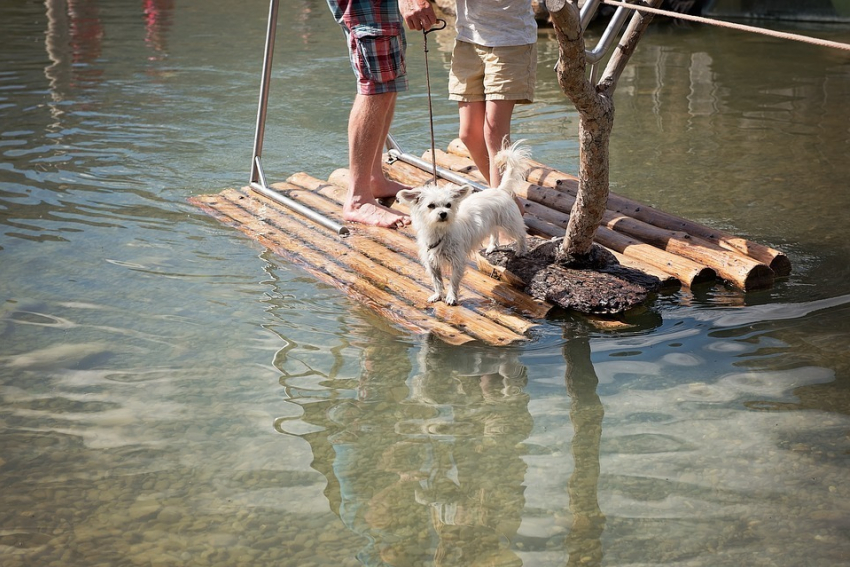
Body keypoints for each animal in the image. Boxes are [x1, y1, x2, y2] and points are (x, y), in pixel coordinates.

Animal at [398, 140, 528, 306]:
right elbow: (437, 281)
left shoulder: (457, 261)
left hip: (509, 223)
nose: (443, 213)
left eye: (448, 205)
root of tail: (500, 190)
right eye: (431, 206)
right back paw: (492, 247)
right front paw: (438, 295)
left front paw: (451, 298)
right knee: (494, 232)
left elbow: (453, 281)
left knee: (520, 234)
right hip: (492, 222)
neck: (439, 233)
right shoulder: (432, 263)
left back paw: (521, 250)